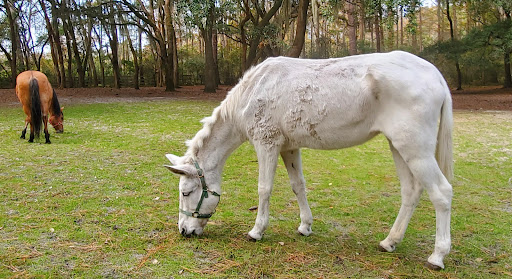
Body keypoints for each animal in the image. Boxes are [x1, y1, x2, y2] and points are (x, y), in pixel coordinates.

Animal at [164, 50, 452, 272]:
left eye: (186, 192)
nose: (183, 231)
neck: (253, 92)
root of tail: (435, 74)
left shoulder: (266, 145)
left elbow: (264, 189)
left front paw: (257, 231)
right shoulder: (289, 148)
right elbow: (298, 186)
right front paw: (305, 226)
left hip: (415, 150)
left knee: (441, 193)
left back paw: (437, 256)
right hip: (398, 147)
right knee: (411, 191)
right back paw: (390, 242)